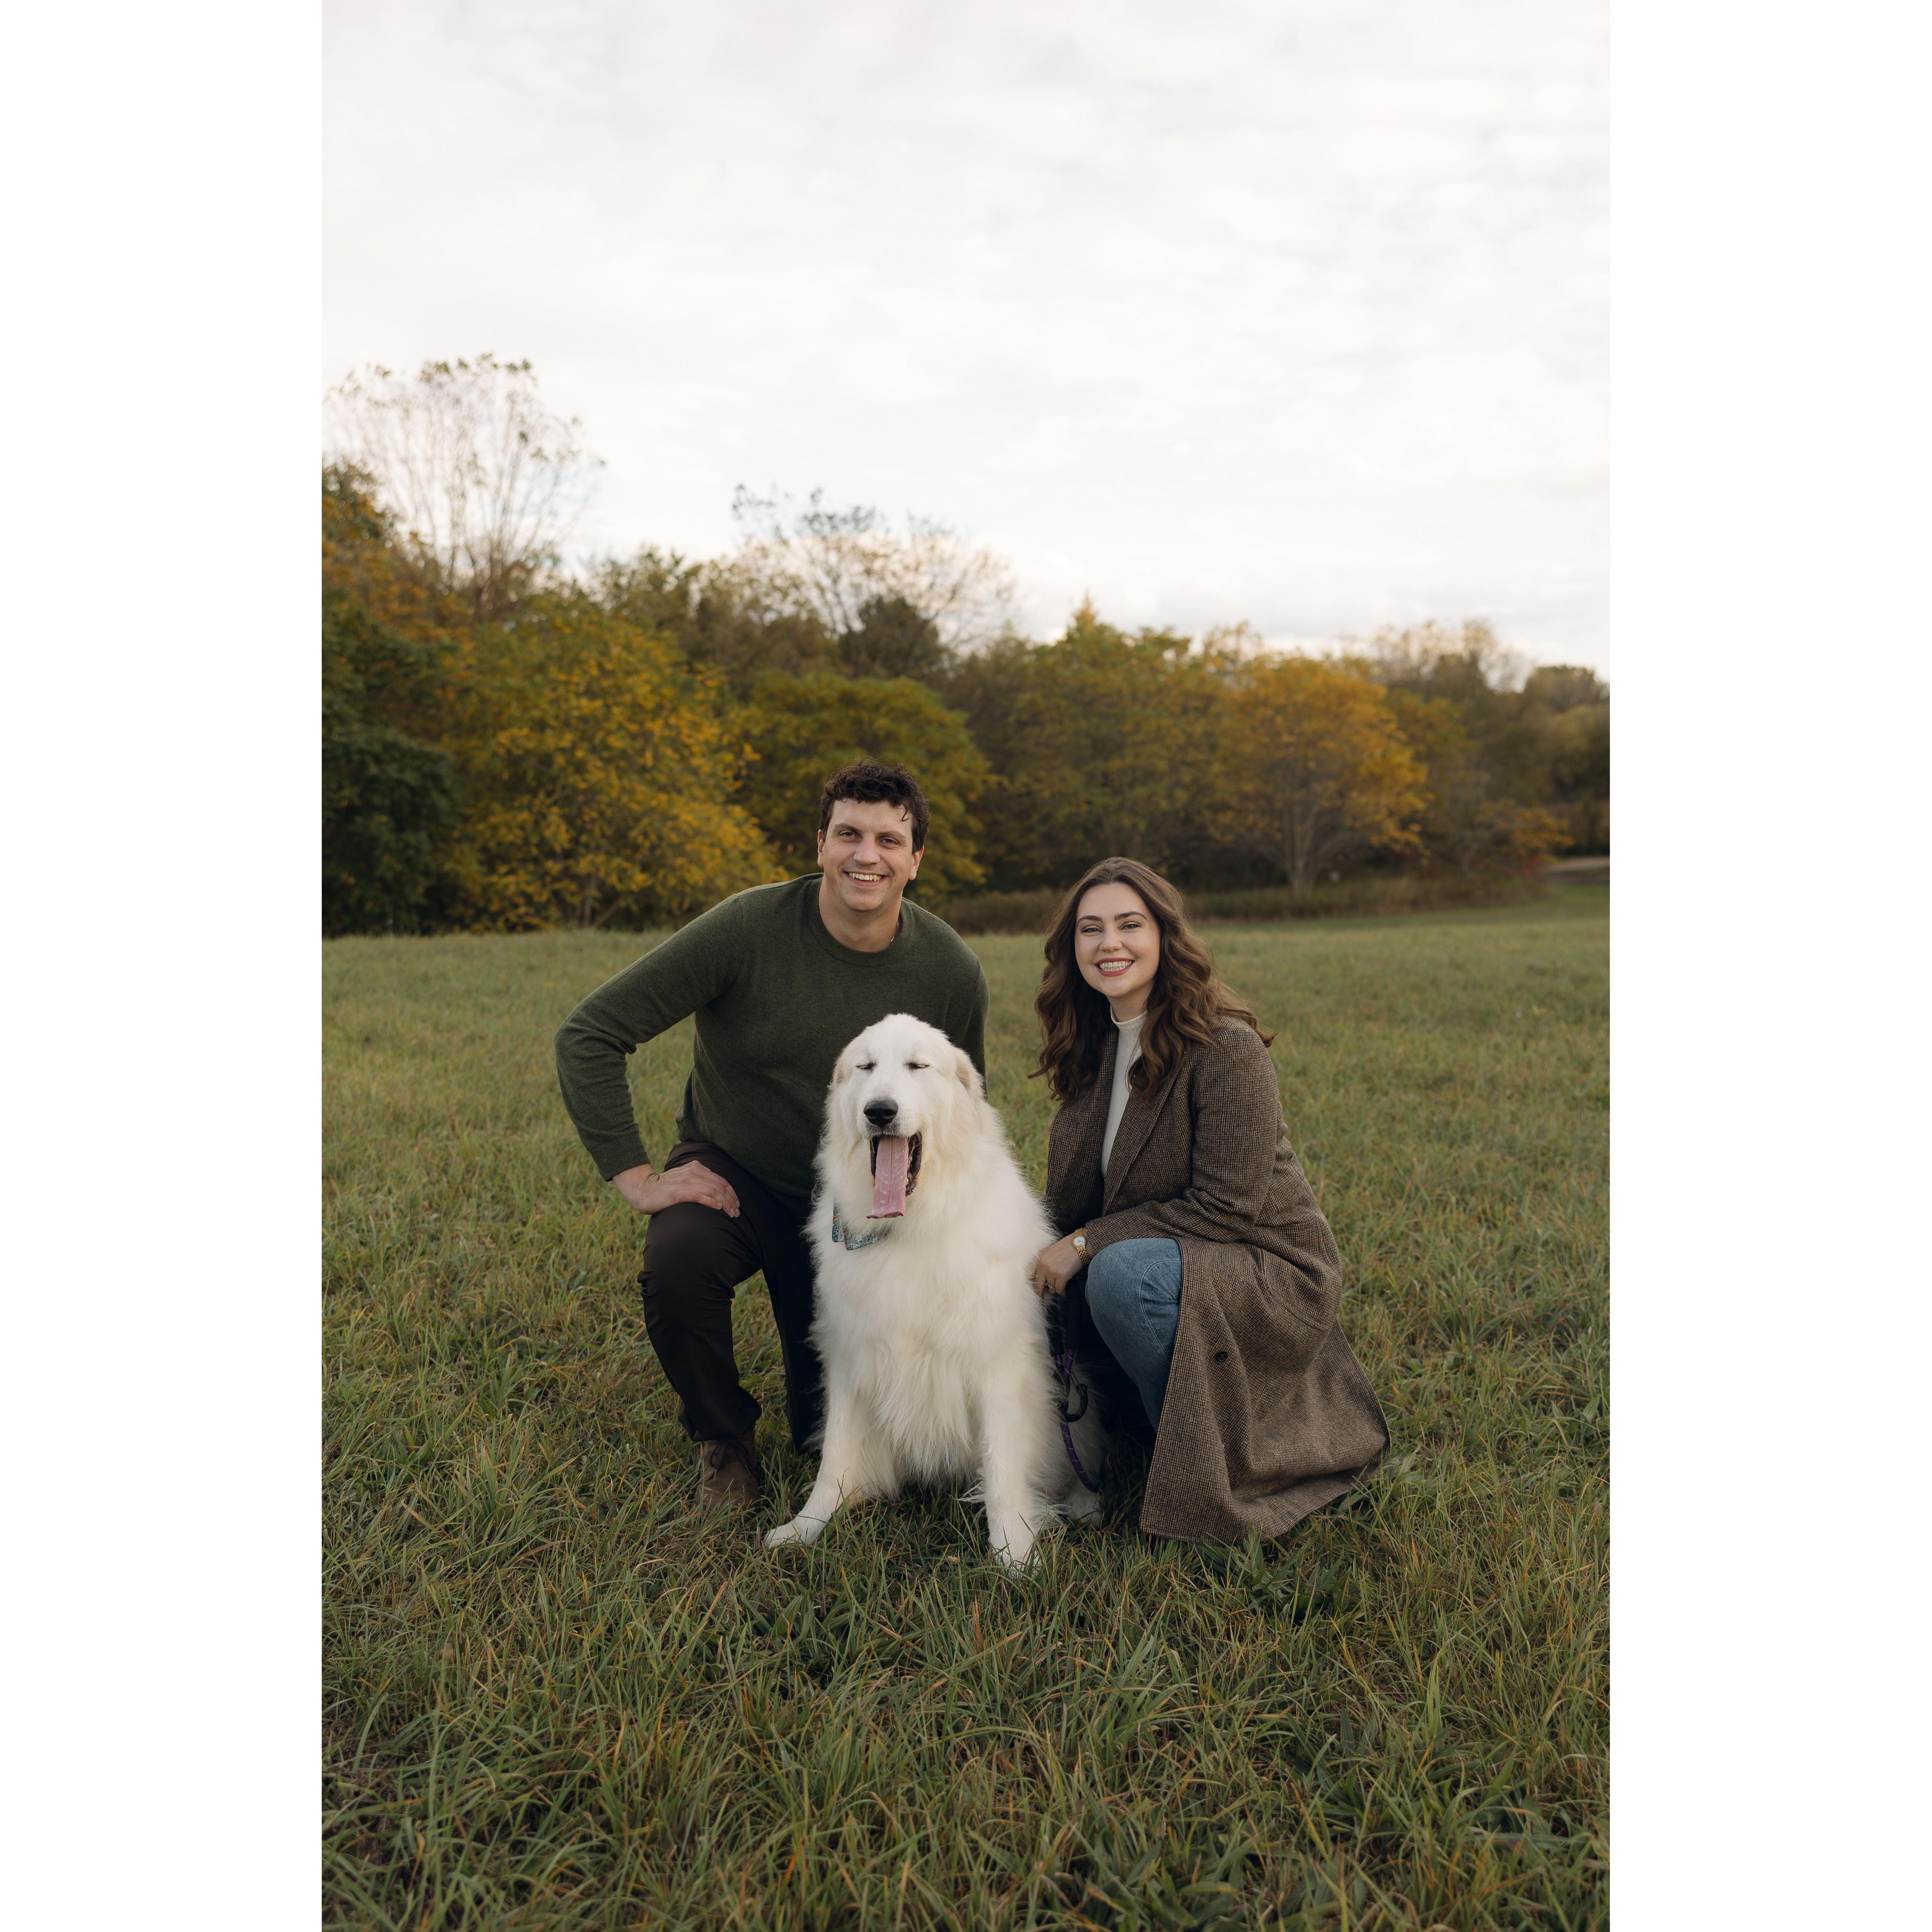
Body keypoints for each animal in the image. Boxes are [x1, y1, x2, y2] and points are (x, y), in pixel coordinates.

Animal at [763, 1013, 1106, 1569]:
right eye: (866, 1067)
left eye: (917, 1066)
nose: (880, 1111)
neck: (910, 1227)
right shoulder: (850, 1358)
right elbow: (835, 1458)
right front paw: (806, 1527)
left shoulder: (998, 1366)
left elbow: (1004, 1468)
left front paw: (1015, 1556)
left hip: (1076, 1393)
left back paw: (1083, 1505)